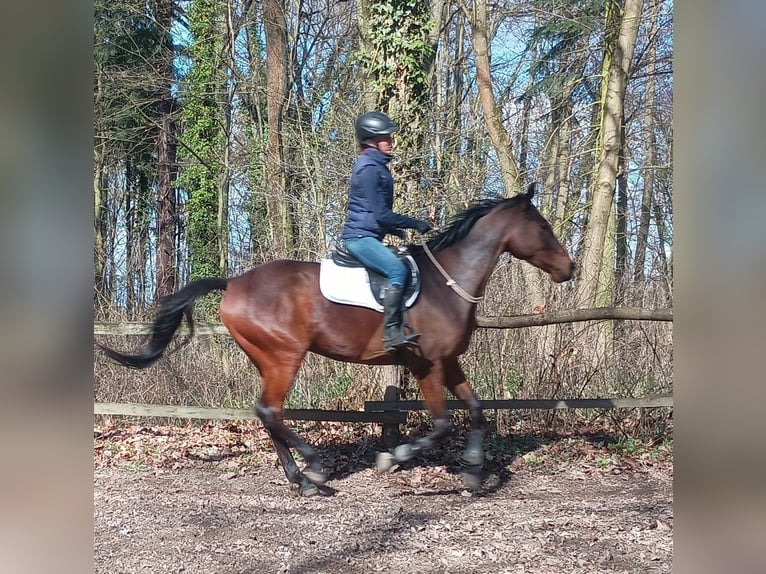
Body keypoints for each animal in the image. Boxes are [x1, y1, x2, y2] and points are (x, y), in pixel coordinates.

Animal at [98, 183, 574, 496]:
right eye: (544, 227)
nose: (568, 269)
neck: (447, 283)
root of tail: (233, 283)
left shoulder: (450, 362)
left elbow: (476, 411)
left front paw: (475, 474)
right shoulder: (426, 365)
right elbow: (442, 424)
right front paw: (394, 458)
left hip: (268, 359)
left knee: (268, 413)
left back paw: (302, 481)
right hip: (283, 357)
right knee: (269, 411)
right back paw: (315, 470)